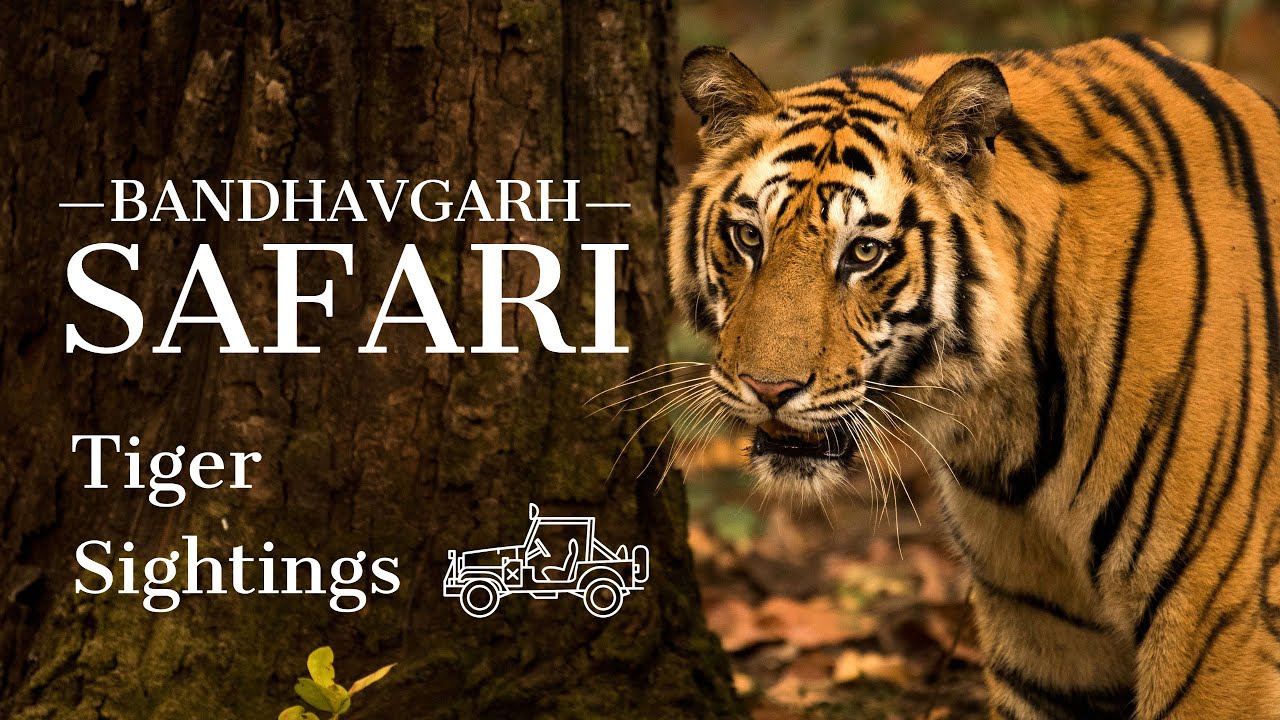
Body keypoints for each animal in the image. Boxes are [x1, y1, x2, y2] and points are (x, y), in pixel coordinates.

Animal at [668, 35, 1280, 719]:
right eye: (749, 237)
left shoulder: (1217, 621)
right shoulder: (1044, 628)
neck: (1007, 413)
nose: (769, 389)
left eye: (863, 253)